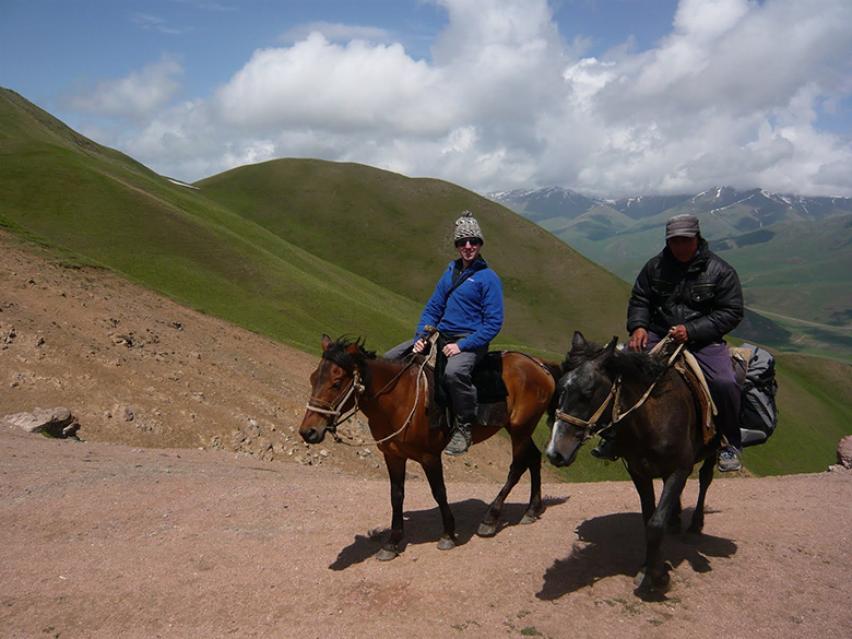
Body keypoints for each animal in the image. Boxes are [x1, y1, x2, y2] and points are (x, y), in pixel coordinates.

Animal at [300, 336, 560, 560]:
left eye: (336, 383)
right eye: (312, 379)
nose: (308, 432)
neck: (398, 400)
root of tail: (539, 364)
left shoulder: (430, 457)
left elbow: (439, 492)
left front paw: (448, 534)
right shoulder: (393, 456)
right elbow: (396, 495)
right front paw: (392, 543)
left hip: (520, 428)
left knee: (518, 466)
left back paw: (491, 519)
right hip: (521, 429)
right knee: (533, 458)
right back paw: (532, 510)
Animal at [544, 332, 720, 592]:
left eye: (588, 392)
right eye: (560, 390)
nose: (555, 453)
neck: (653, 420)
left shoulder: (680, 468)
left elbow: (655, 524)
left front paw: (657, 577)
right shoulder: (639, 472)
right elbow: (649, 520)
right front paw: (651, 567)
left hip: (713, 451)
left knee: (705, 479)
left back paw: (695, 524)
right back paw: (675, 519)